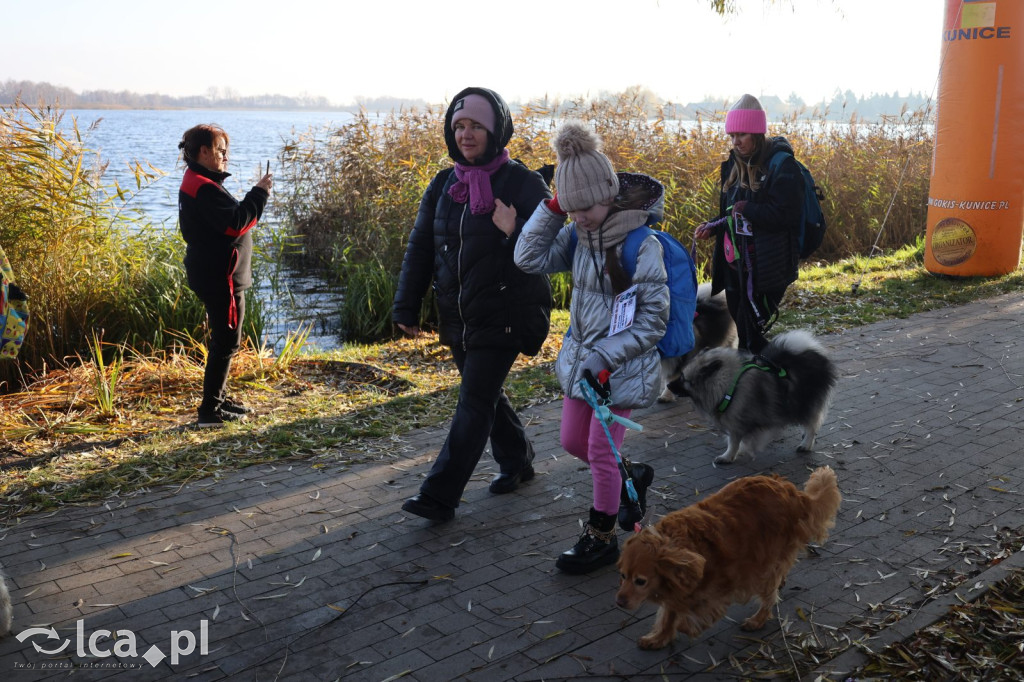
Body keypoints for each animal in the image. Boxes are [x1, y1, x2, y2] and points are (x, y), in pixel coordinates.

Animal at [614, 464, 839, 647]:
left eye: (640, 581)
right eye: (622, 576)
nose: (619, 602)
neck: (675, 545)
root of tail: (790, 491)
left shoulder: (721, 583)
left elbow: (689, 610)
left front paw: (685, 626)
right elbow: (670, 612)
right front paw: (659, 638)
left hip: (764, 563)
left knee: (769, 595)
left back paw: (757, 620)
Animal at [679, 327, 839, 462]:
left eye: (684, 380)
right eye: (682, 377)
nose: (672, 386)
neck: (730, 384)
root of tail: (813, 351)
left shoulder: (737, 420)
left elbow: (734, 441)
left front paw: (728, 456)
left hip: (807, 402)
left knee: (812, 425)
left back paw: (806, 444)